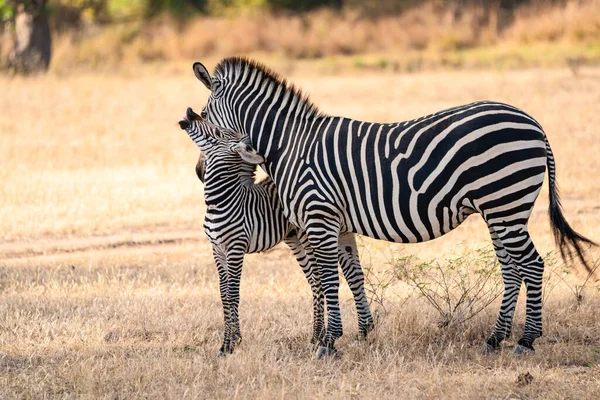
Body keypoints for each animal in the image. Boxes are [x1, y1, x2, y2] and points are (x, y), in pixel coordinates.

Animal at [179, 107, 376, 356]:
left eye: (217, 132)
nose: (189, 112)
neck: (219, 200)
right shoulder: (217, 248)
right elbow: (224, 294)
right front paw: (230, 342)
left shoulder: (235, 247)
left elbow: (233, 293)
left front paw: (230, 344)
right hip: (295, 240)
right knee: (315, 281)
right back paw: (316, 337)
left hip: (309, 234)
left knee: (319, 281)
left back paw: (320, 337)